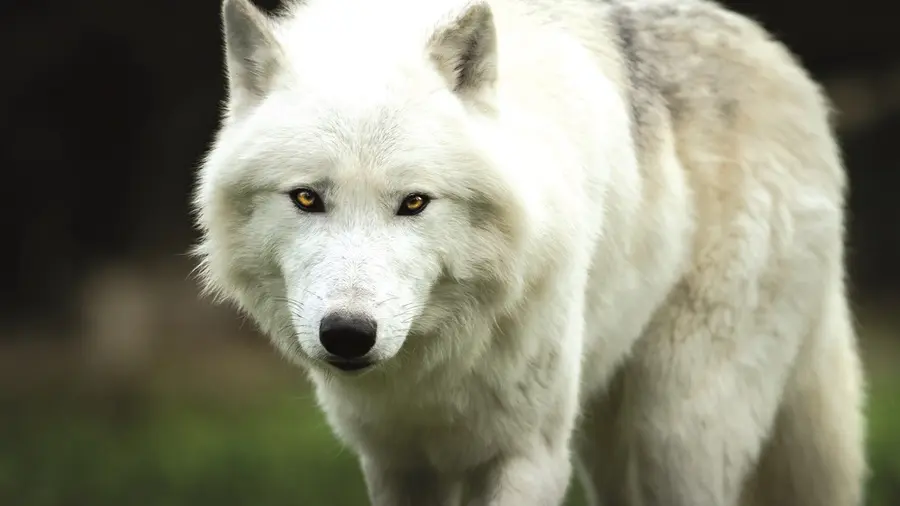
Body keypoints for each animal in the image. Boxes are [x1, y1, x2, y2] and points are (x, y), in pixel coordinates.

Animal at [192, 0, 867, 504]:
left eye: (414, 203)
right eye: (307, 198)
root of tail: (784, 62)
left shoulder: (530, 455)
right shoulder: (397, 463)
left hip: (677, 433)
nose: (349, 335)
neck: (440, 363)